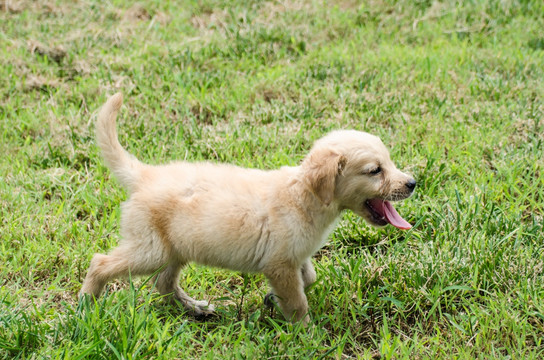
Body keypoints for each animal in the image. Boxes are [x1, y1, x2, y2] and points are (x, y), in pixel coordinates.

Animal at [79, 93, 416, 324]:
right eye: (375, 171)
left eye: (389, 163)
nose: (413, 183)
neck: (304, 196)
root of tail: (145, 174)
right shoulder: (280, 264)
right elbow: (297, 301)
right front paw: (306, 332)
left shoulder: (295, 257)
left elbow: (308, 279)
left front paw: (272, 299)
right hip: (151, 250)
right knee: (100, 262)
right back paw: (85, 306)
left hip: (176, 248)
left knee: (163, 283)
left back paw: (194, 308)